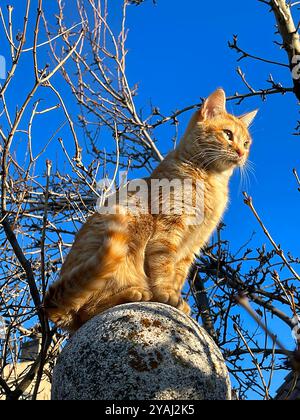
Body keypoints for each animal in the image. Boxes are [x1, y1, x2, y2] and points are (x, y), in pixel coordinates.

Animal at [44, 89, 258, 332]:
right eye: (228, 134)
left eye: (246, 142)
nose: (241, 152)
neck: (211, 180)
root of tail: (55, 308)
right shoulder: (168, 228)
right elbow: (163, 265)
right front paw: (165, 294)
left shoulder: (192, 246)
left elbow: (178, 274)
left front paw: (176, 297)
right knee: (86, 312)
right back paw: (134, 293)